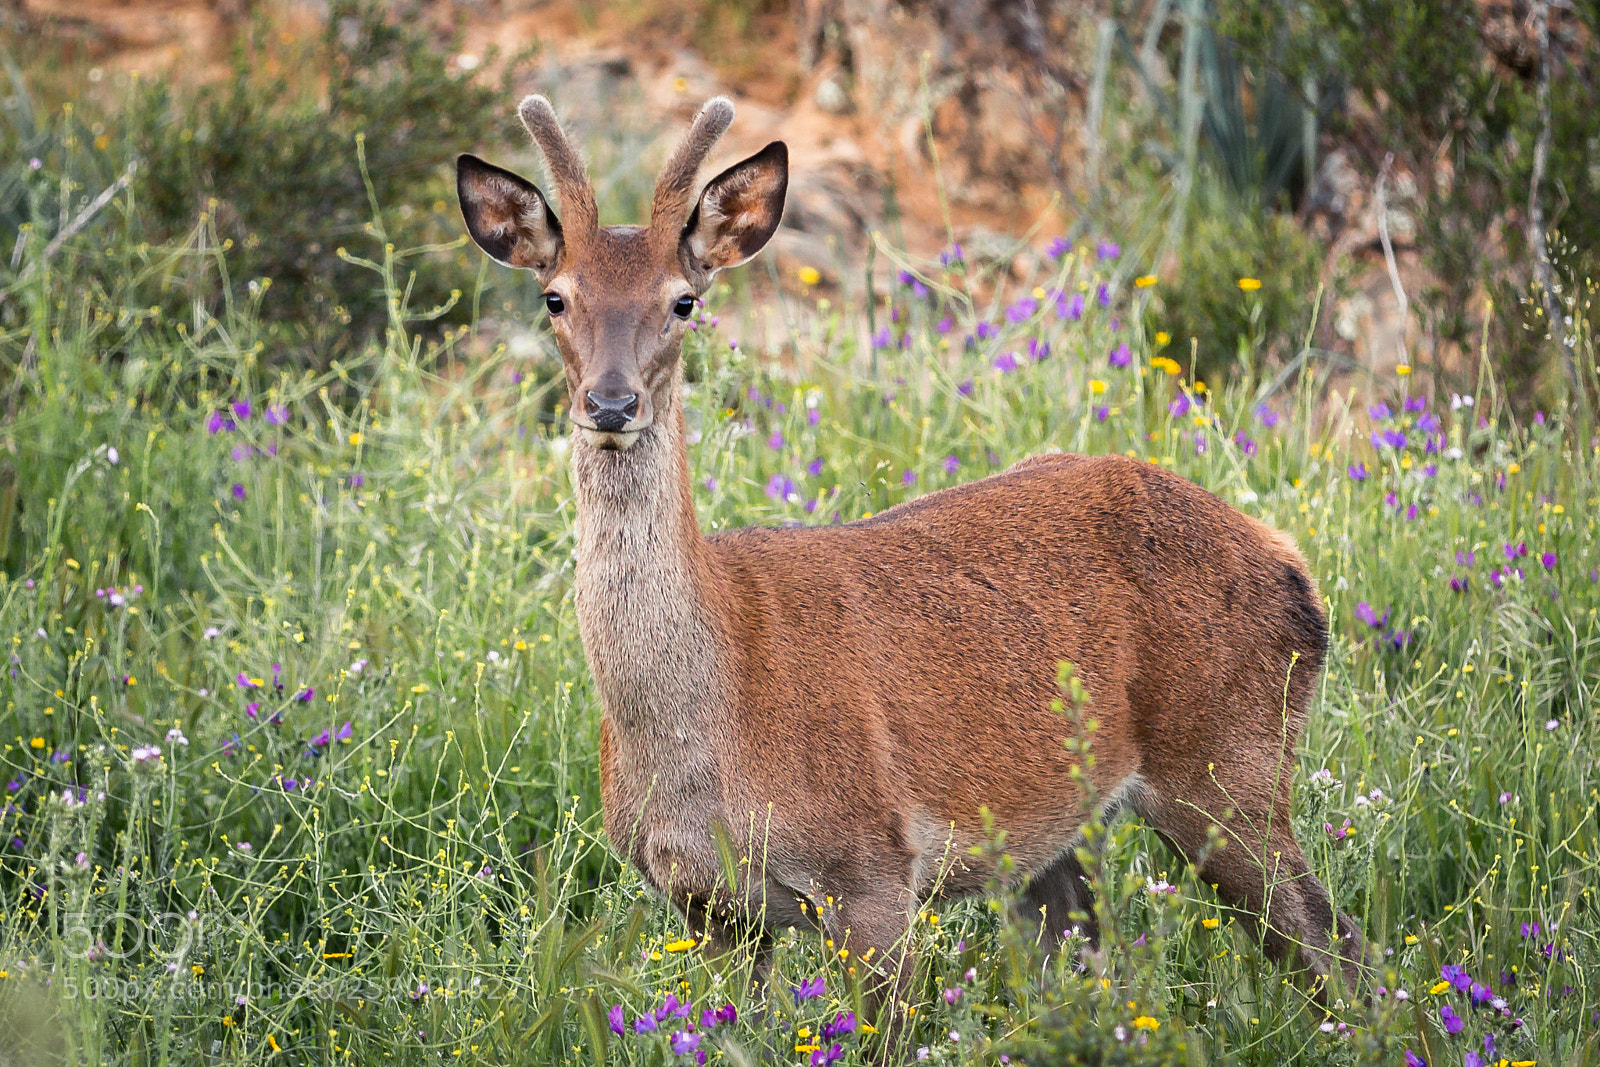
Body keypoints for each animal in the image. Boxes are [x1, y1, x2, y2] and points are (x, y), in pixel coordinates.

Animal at [456, 95, 1366, 1031]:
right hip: (1062, 831)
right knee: (1087, 950)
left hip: (1230, 761)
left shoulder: (872, 870)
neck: (709, 721)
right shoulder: (706, 908)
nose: (610, 402)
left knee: (1335, 945)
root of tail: (1293, 564)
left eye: (683, 301)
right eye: (555, 296)